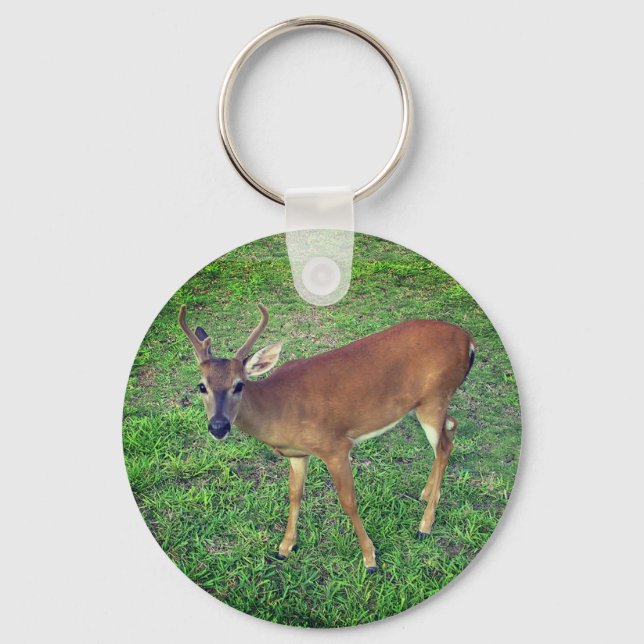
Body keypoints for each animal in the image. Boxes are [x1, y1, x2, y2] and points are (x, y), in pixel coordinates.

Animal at [179, 303, 475, 573]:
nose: (218, 426)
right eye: (201, 386)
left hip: (434, 398)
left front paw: (369, 558)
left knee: (444, 446)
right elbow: (295, 494)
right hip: (429, 403)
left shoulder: (335, 446)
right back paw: (427, 494)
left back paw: (425, 525)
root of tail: (470, 341)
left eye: (239, 385)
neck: (279, 409)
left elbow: (348, 500)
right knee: (452, 428)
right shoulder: (298, 454)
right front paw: (285, 547)